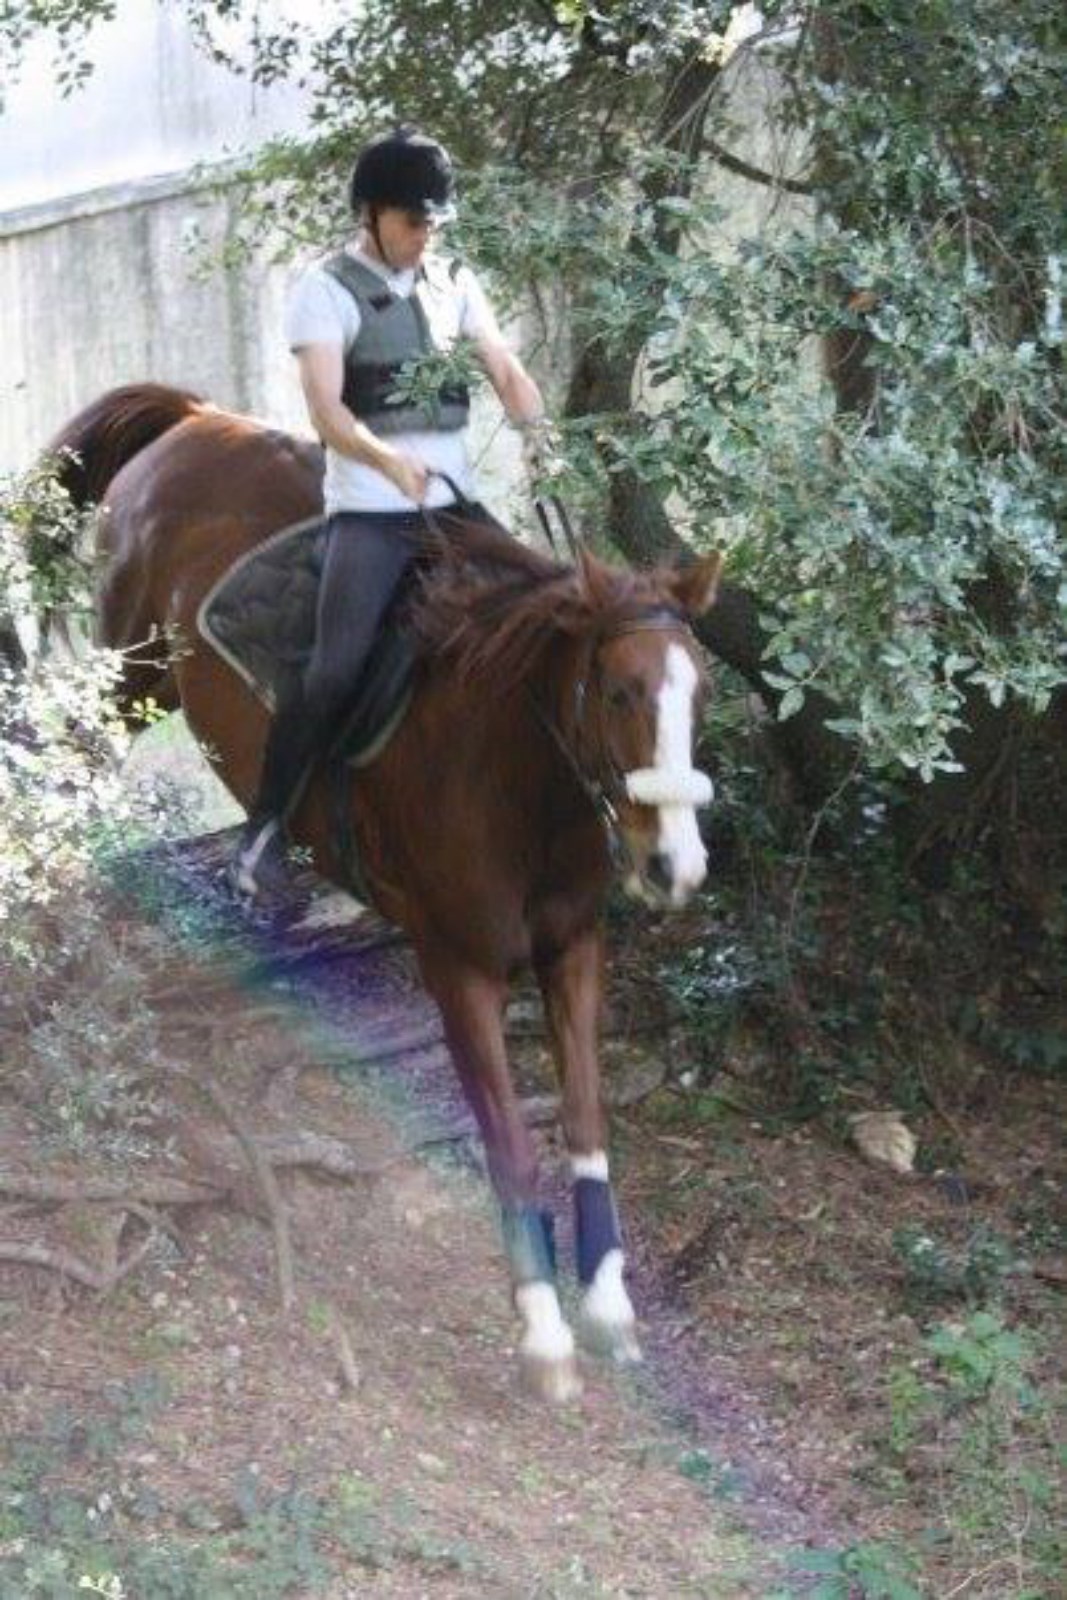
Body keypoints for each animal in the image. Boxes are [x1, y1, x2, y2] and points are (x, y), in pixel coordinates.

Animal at [47, 382, 722, 1402]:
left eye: (699, 693)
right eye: (617, 693)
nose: (671, 866)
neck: (517, 777)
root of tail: (194, 419)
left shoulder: (574, 951)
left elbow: (585, 1118)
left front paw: (606, 1305)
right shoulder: (457, 966)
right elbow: (509, 1145)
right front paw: (544, 1336)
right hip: (127, 676)